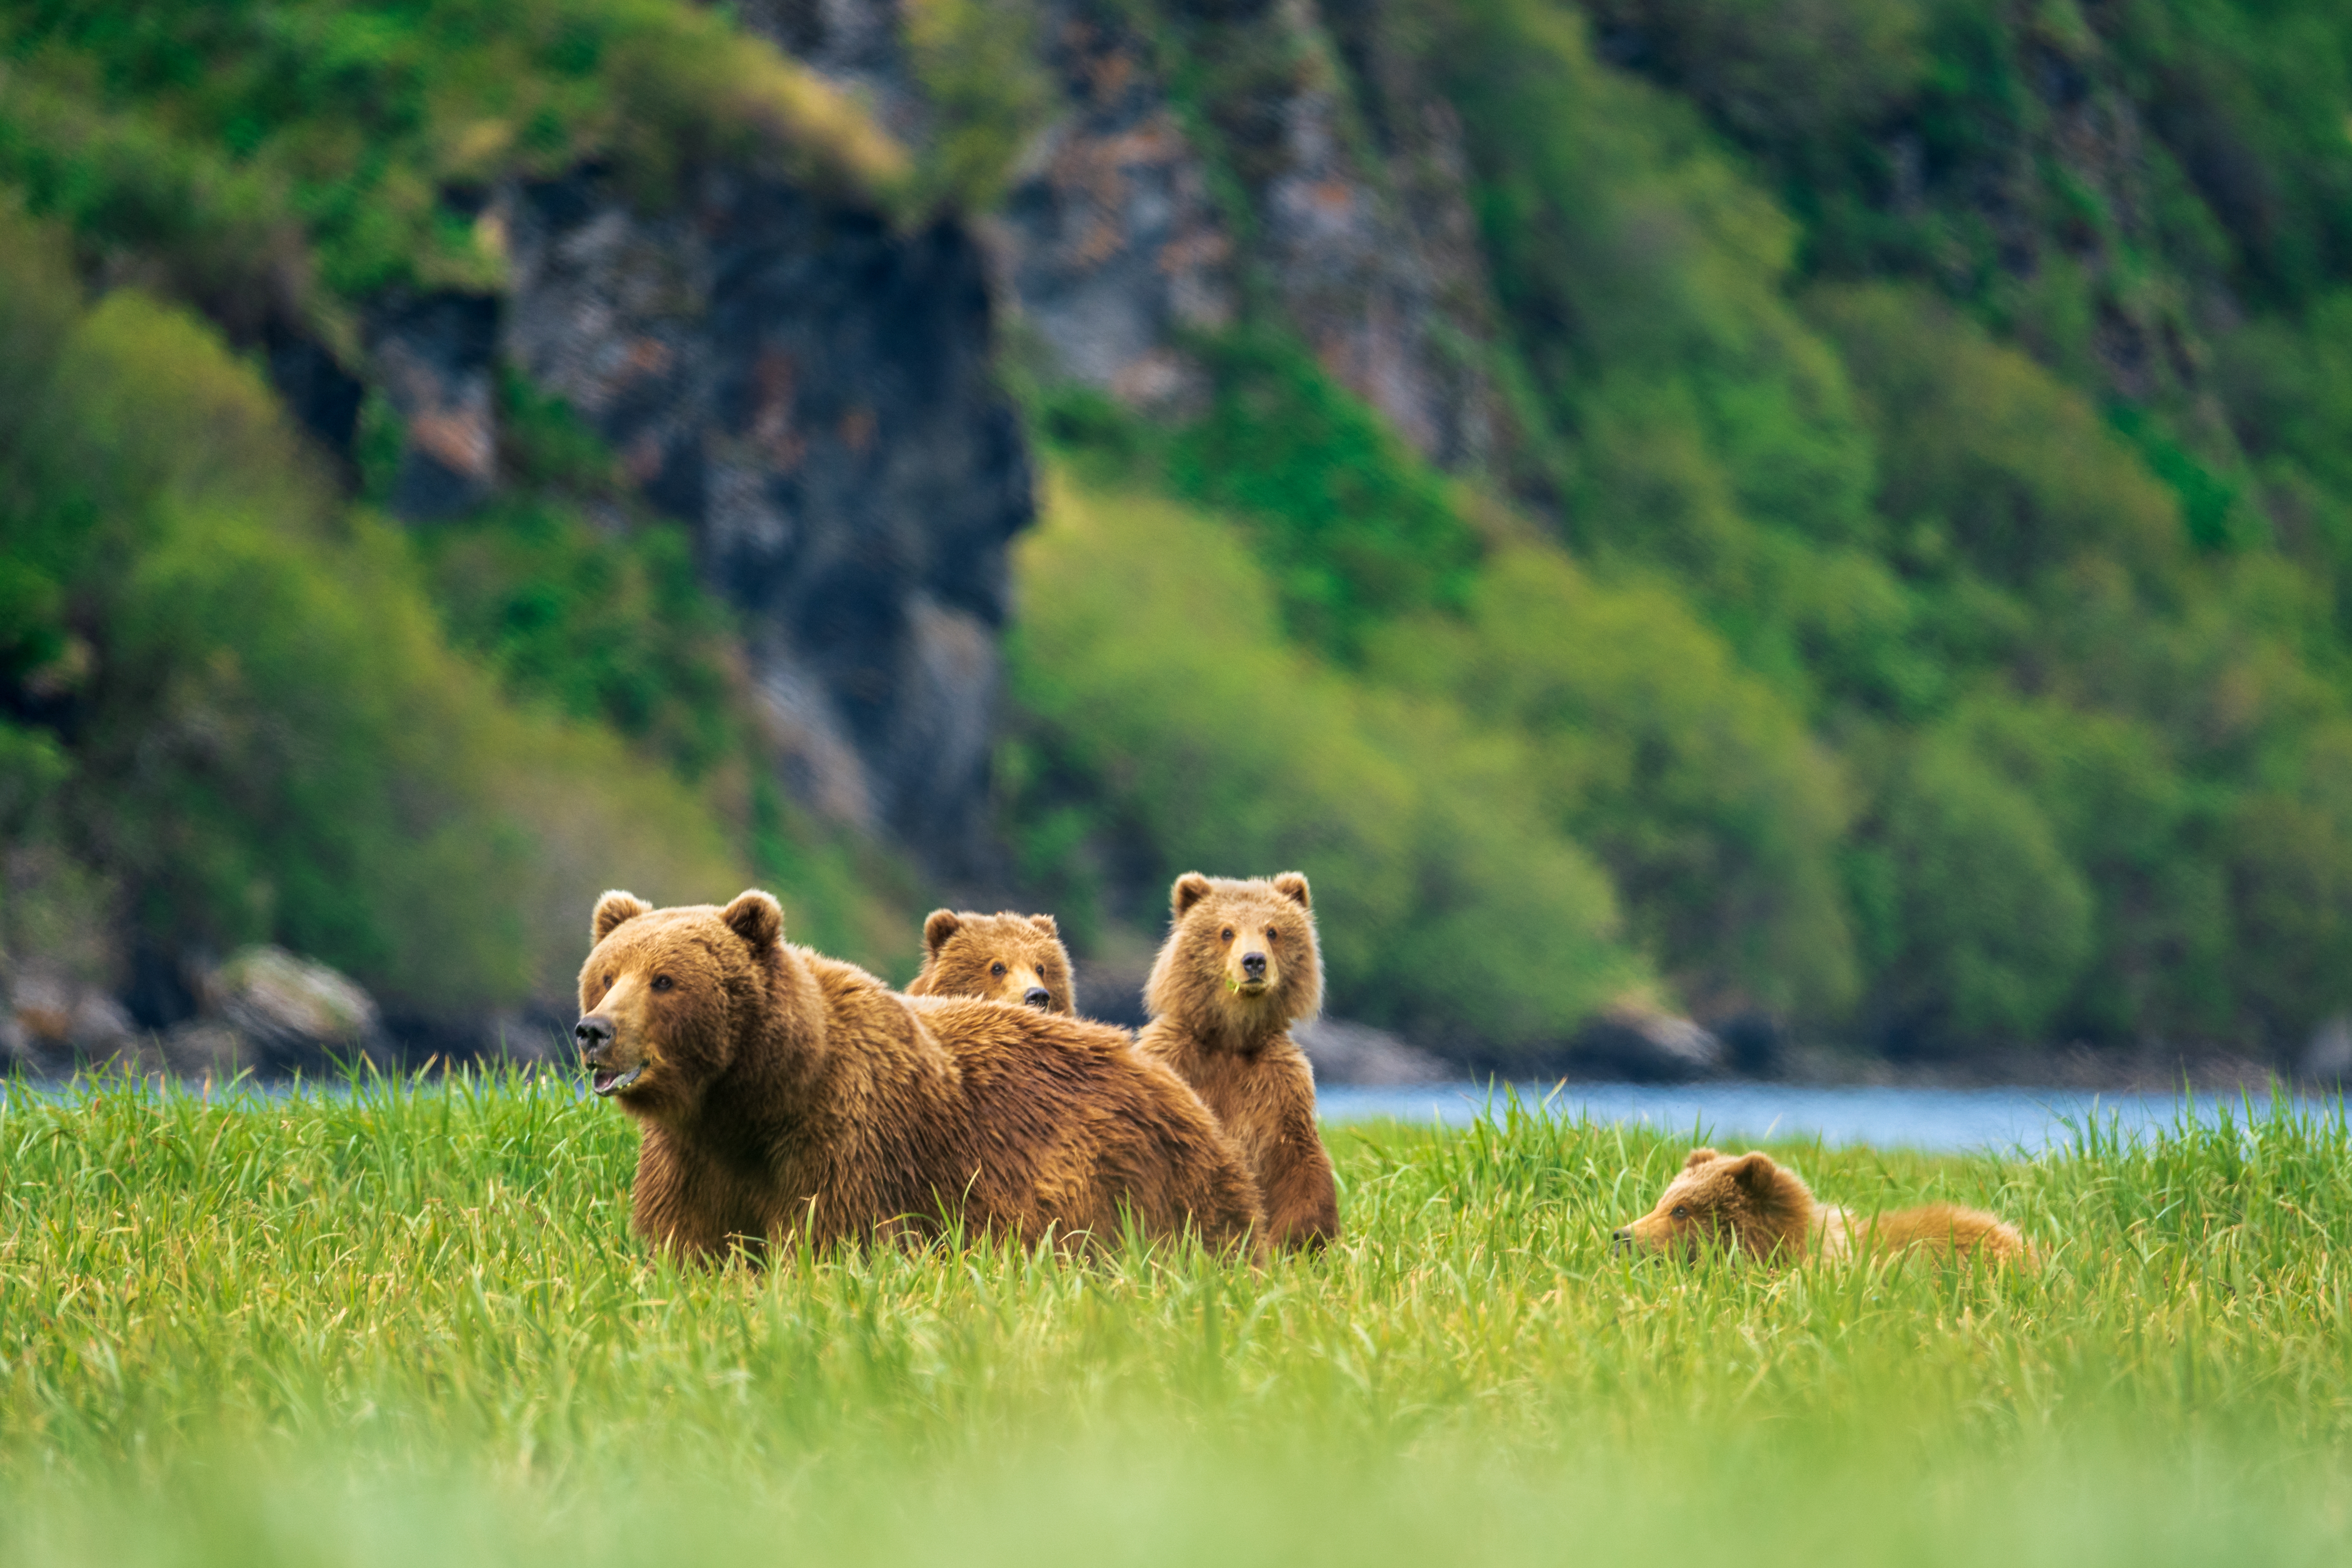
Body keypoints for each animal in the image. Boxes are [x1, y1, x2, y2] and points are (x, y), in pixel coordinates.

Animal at [1135, 871, 1340, 1252]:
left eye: (1272, 930)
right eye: (1226, 931)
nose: (1254, 961)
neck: (1230, 1038)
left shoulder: (1277, 1084)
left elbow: (1297, 1163)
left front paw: (1296, 1244)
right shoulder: (1176, 1062)